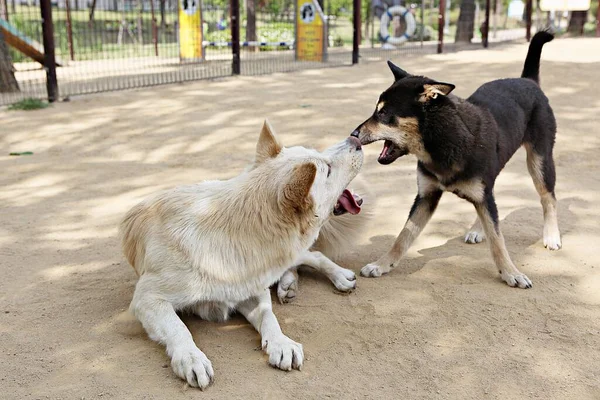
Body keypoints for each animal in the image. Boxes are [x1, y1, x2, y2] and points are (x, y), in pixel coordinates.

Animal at [120, 120, 366, 390]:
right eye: (328, 169)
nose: (356, 139)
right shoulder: (147, 298)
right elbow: (179, 328)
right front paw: (191, 357)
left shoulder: (252, 289)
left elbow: (269, 315)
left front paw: (281, 342)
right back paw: (289, 283)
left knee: (312, 255)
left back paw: (332, 276)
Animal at [354, 31, 560, 288]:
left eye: (382, 113)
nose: (354, 134)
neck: (443, 142)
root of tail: (528, 80)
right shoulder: (427, 195)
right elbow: (403, 236)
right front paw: (382, 265)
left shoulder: (475, 193)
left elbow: (497, 239)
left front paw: (512, 273)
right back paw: (478, 229)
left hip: (540, 161)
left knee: (547, 198)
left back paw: (551, 235)